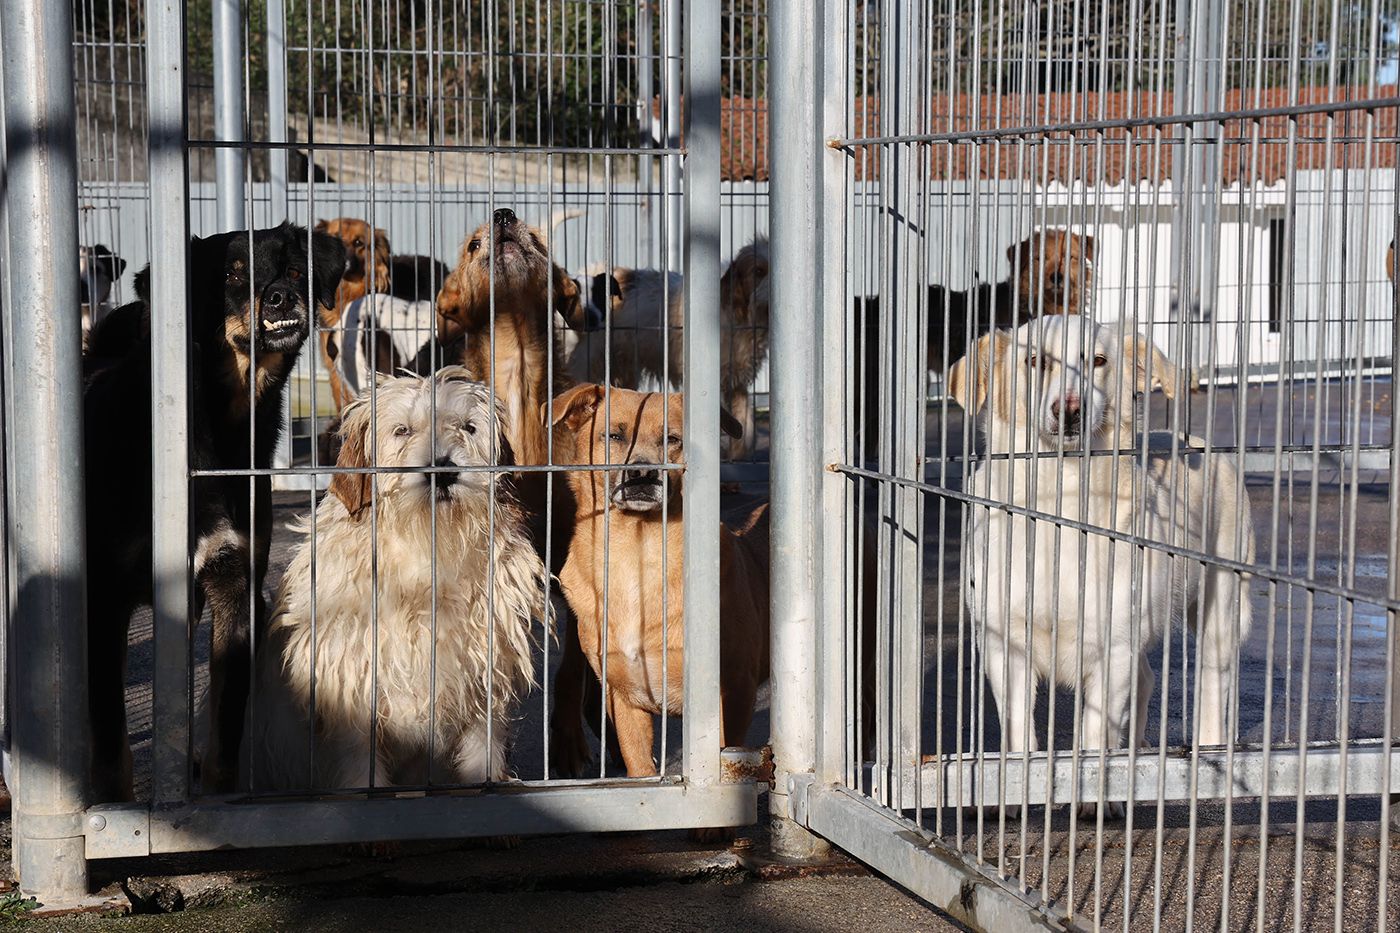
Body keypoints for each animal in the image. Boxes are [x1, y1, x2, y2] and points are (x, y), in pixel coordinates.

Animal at [83, 221, 345, 795]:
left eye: (295, 269)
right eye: (231, 275)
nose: (281, 295)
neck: (212, 430)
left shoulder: (235, 587)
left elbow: (225, 732)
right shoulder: (107, 600)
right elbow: (111, 747)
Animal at [243, 367, 548, 790]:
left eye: (468, 428)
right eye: (402, 430)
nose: (444, 471)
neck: (427, 553)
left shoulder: (482, 684)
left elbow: (481, 760)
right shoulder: (353, 691)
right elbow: (360, 768)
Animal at [546, 381, 767, 773]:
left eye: (672, 439)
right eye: (614, 435)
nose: (643, 474)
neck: (637, 554)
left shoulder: (733, 691)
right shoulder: (623, 696)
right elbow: (639, 766)